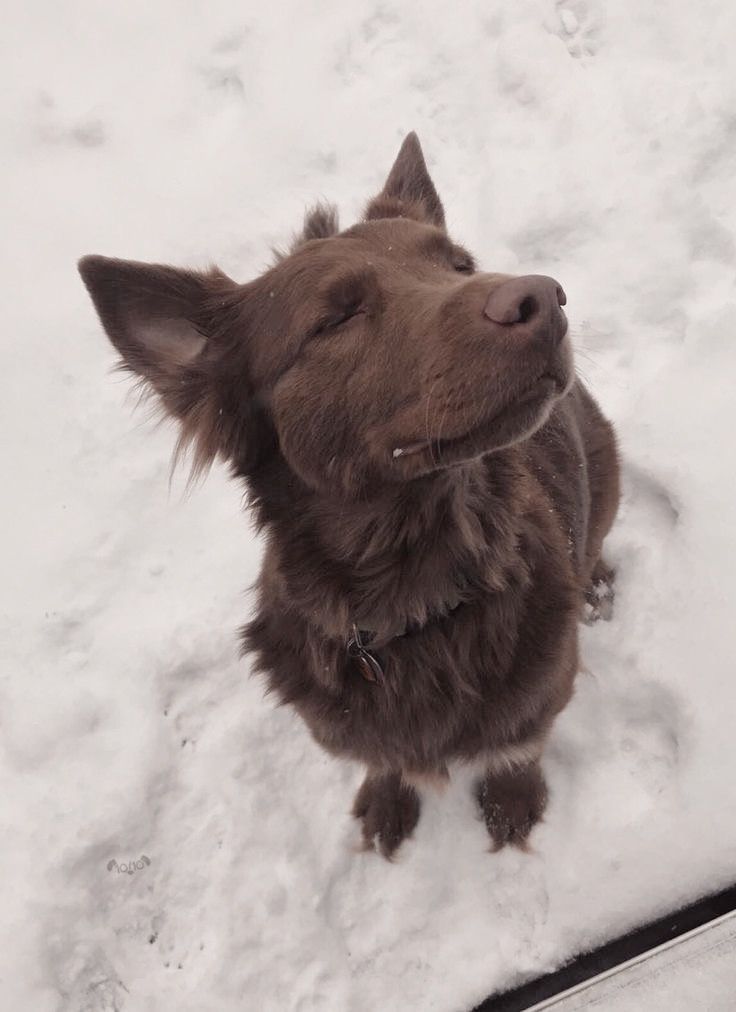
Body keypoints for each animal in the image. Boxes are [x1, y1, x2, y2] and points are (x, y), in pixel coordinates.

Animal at [80, 130, 619, 858]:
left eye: (459, 264)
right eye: (336, 318)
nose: (544, 300)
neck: (414, 601)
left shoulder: (544, 688)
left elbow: (517, 744)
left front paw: (511, 800)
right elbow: (382, 759)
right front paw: (387, 798)